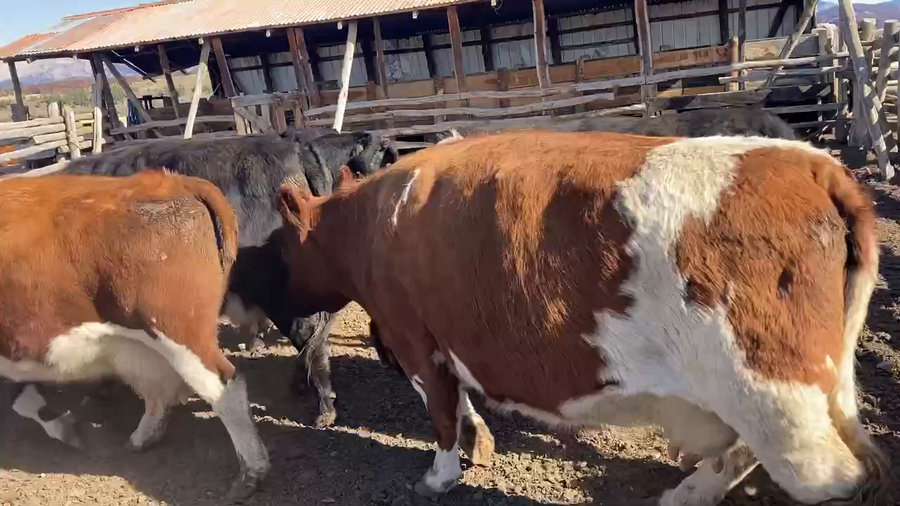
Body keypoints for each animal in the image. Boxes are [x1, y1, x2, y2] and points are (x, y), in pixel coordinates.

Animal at [0, 170, 268, 502]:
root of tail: (175, 181)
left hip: (180, 333)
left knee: (225, 388)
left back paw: (251, 473)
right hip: (142, 341)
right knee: (158, 389)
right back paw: (142, 438)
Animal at [271, 131, 889, 505]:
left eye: (282, 247)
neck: (372, 220)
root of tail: (810, 162)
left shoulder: (415, 340)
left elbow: (443, 416)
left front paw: (439, 476)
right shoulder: (443, 344)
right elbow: (462, 403)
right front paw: (480, 443)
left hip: (778, 397)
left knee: (821, 474)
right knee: (742, 452)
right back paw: (687, 491)